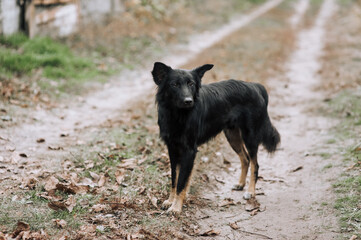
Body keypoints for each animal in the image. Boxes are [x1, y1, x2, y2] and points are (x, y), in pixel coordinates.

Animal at [150, 62, 280, 212]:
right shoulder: (172, 148)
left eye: (191, 84)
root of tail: (256, 86)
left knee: (255, 164)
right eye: (174, 85)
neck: (178, 115)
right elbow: (174, 178)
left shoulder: (189, 150)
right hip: (232, 136)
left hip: (250, 136)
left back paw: (251, 191)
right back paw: (240, 184)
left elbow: (181, 181)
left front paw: (176, 208)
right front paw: (171, 201)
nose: (188, 101)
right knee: (245, 159)